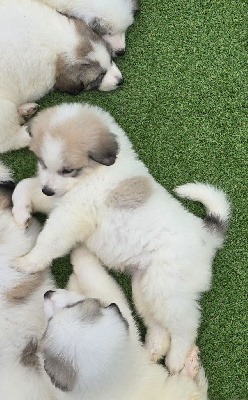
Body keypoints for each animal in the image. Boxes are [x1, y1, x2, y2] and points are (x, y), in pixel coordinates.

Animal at [0, 0, 123, 153]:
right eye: (99, 77)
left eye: (111, 60)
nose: (121, 81)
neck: (56, 41)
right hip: (4, 107)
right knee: (8, 141)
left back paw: (25, 110)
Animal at [12, 101, 232, 374]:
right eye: (42, 162)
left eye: (68, 170)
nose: (48, 190)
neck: (94, 174)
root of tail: (206, 235)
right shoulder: (58, 201)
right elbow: (23, 185)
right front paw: (21, 214)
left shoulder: (71, 215)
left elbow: (48, 241)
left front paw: (27, 262)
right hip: (144, 288)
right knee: (158, 325)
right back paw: (153, 350)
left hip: (166, 291)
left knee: (186, 326)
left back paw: (177, 359)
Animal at [41, 244, 208, 400]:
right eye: (48, 324)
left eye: (73, 306)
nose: (47, 293)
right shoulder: (113, 298)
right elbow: (89, 270)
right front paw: (80, 250)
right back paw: (189, 364)